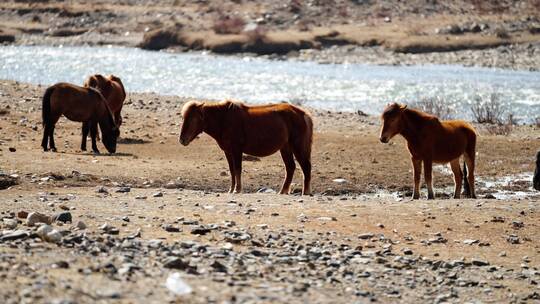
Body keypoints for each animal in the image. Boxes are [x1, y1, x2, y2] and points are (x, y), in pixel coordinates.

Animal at [179, 100, 312, 195]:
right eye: (184, 117)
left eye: (193, 118)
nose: (182, 140)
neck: (224, 119)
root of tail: (303, 114)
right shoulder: (228, 151)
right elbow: (232, 170)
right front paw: (231, 189)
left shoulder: (236, 150)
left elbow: (237, 169)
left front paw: (237, 190)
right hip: (285, 148)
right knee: (290, 167)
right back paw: (283, 191)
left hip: (297, 146)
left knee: (306, 167)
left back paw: (305, 192)